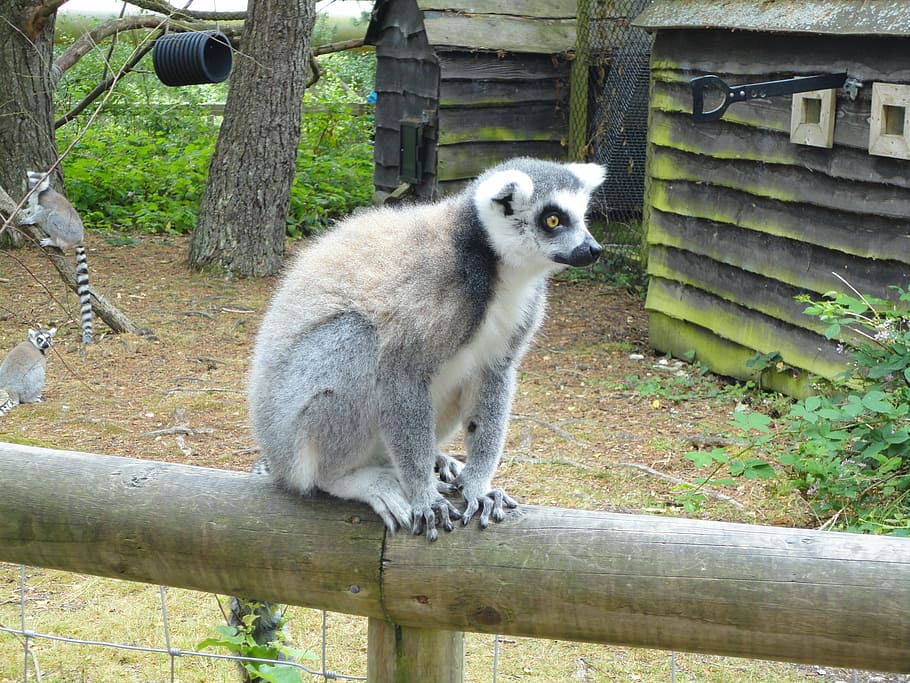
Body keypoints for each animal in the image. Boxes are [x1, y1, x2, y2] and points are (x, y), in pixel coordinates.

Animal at [19, 170, 94, 345]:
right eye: (32, 180)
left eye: (40, 181)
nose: (34, 187)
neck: (38, 194)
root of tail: (79, 238)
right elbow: (32, 208)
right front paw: (25, 211)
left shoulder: (44, 201)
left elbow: (44, 211)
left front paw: (28, 219)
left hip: (66, 230)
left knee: (52, 215)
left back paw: (51, 240)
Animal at [248, 157, 605, 540]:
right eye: (553, 219)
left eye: (581, 216)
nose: (593, 249)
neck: (494, 266)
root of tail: (276, 454)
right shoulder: (431, 288)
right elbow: (401, 372)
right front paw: (425, 498)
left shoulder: (520, 316)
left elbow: (493, 374)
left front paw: (478, 487)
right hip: (292, 431)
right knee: (358, 337)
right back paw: (348, 477)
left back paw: (436, 458)